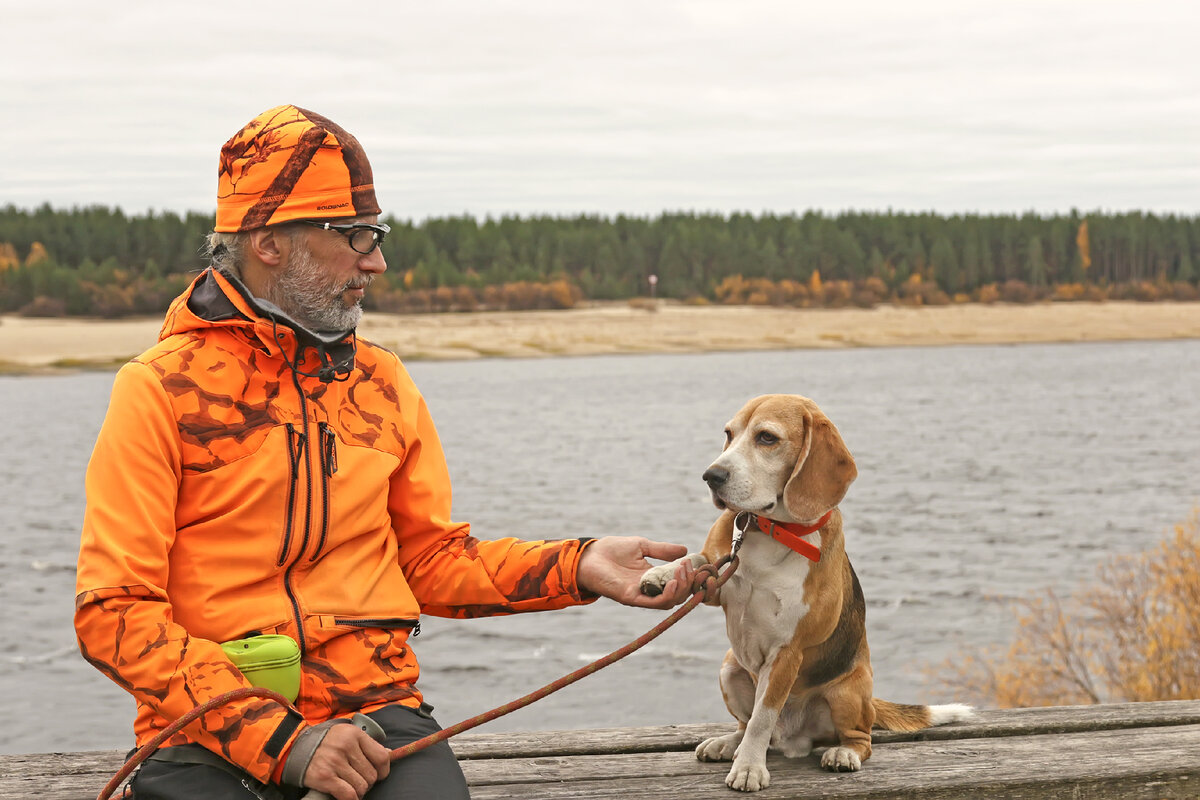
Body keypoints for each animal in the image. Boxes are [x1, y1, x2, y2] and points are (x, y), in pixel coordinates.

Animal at [643, 391, 969, 791]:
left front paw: (749, 768)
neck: (772, 530)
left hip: (847, 693)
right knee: (743, 725)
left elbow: (762, 718)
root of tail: (792, 740)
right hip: (729, 668)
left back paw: (842, 754)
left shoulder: (787, 652)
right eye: (729, 434)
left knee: (859, 739)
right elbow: (696, 560)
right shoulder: (717, 586)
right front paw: (662, 573)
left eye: (767, 437)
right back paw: (727, 744)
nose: (711, 476)